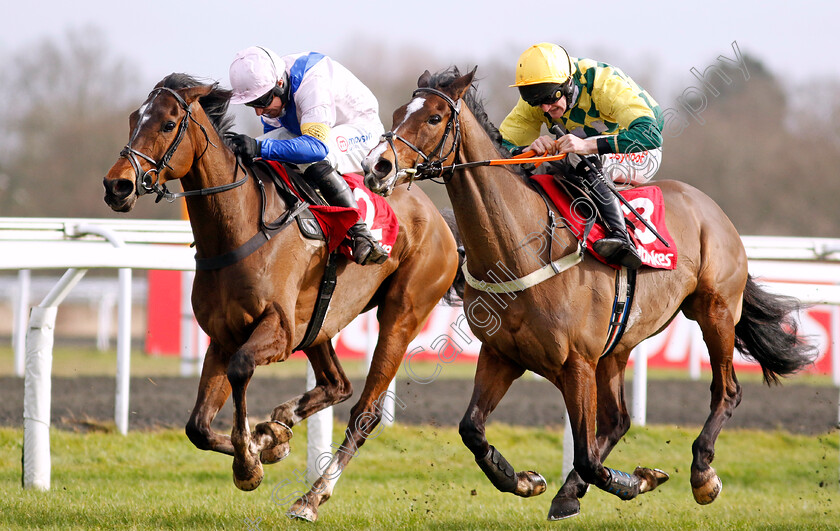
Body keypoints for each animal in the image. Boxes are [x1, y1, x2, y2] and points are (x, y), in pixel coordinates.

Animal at [104, 72, 460, 520]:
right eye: (134, 119)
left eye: (168, 124)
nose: (117, 185)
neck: (239, 227)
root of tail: (438, 217)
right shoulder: (224, 336)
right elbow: (197, 427)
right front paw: (267, 443)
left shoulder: (278, 331)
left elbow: (241, 370)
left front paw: (250, 461)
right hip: (319, 322)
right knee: (337, 384)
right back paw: (281, 422)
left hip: (402, 313)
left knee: (365, 410)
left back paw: (311, 496)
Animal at [364, 65, 816, 520]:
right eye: (398, 112)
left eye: (435, 117)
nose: (378, 166)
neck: (521, 248)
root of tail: (712, 209)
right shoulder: (502, 354)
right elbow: (472, 429)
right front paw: (526, 480)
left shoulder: (577, 361)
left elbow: (586, 455)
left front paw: (635, 480)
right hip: (618, 344)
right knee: (618, 420)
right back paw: (572, 489)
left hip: (715, 310)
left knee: (726, 390)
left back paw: (702, 473)